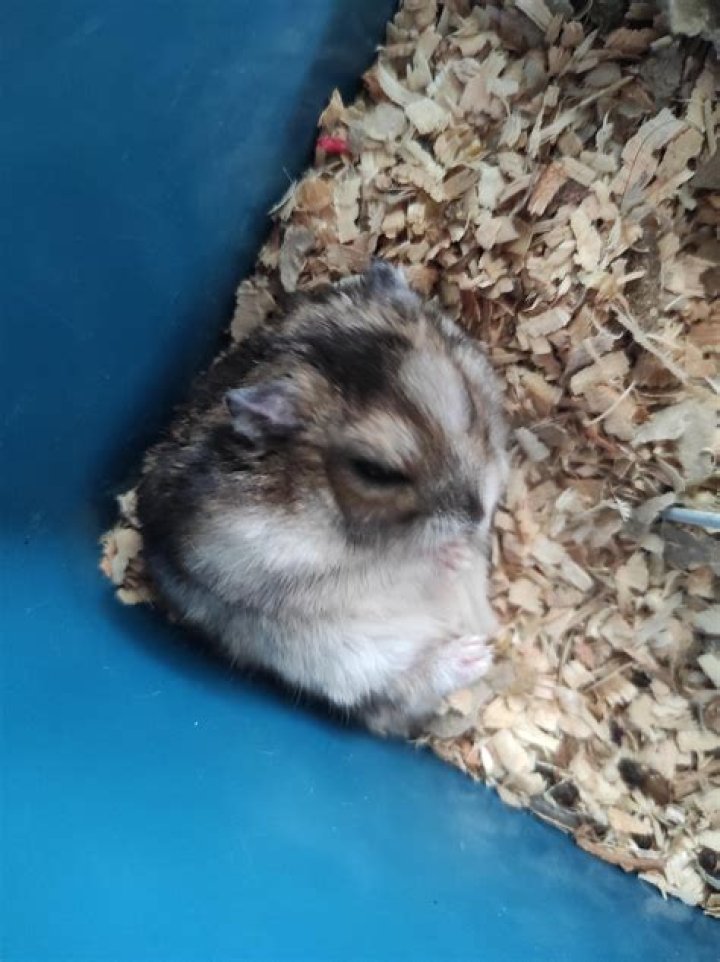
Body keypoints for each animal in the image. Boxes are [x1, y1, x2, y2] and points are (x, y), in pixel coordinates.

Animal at [136, 261, 509, 736]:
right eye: (375, 473)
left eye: (467, 405)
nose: (478, 517)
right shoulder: (267, 562)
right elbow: (388, 568)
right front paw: (449, 554)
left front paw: (466, 544)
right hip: (347, 660)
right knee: (392, 698)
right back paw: (473, 656)